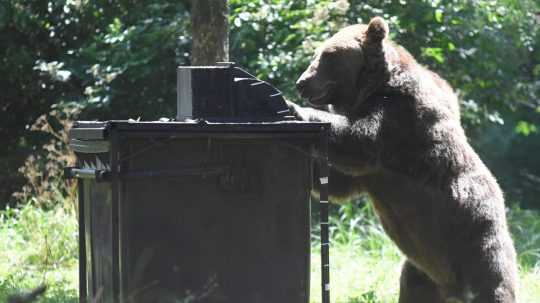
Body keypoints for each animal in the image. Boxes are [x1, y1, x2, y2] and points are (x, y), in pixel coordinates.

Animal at [288, 16, 516, 303]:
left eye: (328, 55)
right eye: (316, 53)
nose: (301, 82)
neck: (370, 90)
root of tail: (453, 289)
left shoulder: (400, 119)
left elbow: (359, 141)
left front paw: (295, 110)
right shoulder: (374, 174)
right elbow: (340, 182)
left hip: (476, 239)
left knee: (493, 284)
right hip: (422, 272)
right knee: (413, 286)